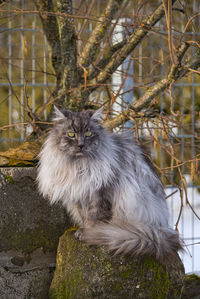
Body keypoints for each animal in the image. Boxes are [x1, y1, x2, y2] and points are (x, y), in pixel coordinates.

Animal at [36, 106, 182, 264]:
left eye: (88, 133)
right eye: (71, 134)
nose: (81, 145)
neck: (79, 166)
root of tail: (161, 232)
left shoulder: (100, 195)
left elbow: (95, 218)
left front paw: (91, 233)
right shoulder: (80, 195)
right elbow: (84, 216)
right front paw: (83, 230)